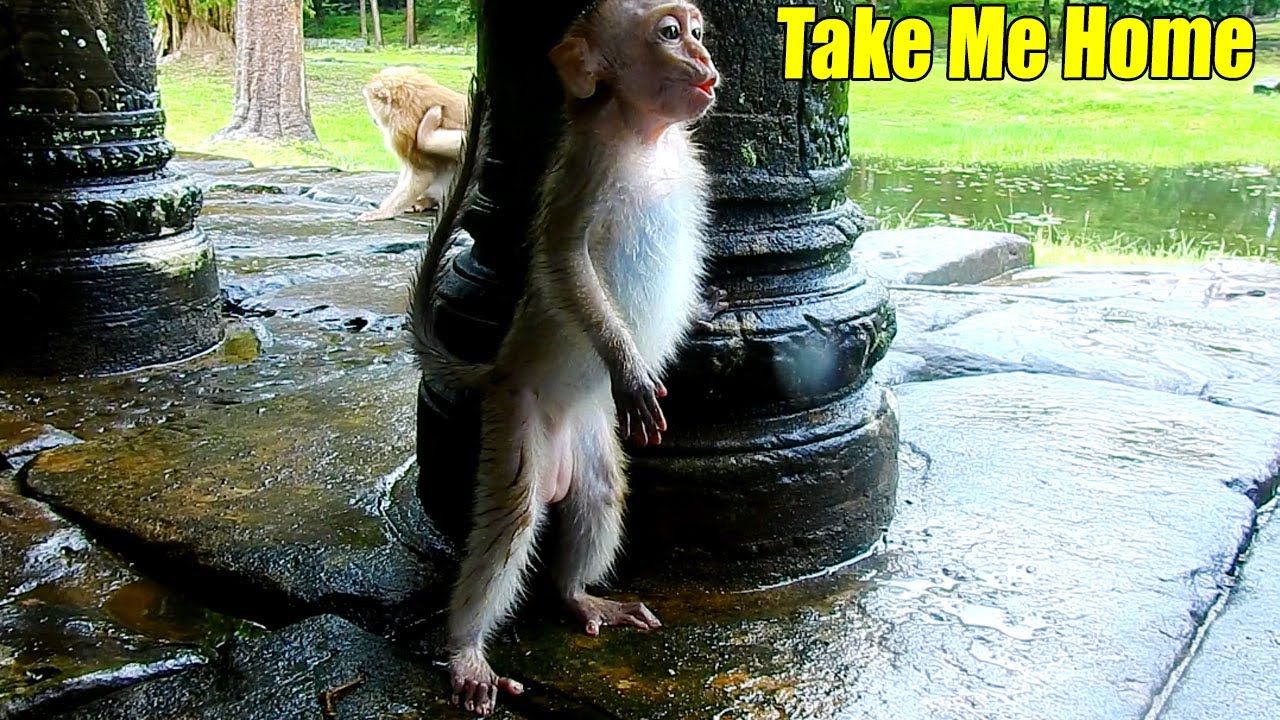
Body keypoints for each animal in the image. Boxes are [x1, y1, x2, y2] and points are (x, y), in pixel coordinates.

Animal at [405, 1, 722, 715]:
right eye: (671, 33)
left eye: (697, 31)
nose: (707, 62)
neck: (646, 137)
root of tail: (496, 368)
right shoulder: (588, 167)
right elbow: (563, 260)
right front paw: (629, 368)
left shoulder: (690, 170)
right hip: (517, 414)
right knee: (513, 516)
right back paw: (467, 650)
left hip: (589, 430)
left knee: (602, 492)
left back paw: (577, 596)